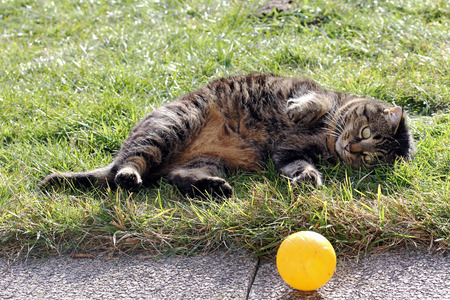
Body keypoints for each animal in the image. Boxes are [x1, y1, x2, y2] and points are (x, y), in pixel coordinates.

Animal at [39, 74, 414, 197]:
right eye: (365, 131)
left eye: (369, 156)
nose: (351, 147)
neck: (327, 139)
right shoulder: (311, 90)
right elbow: (314, 101)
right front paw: (298, 111)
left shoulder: (289, 154)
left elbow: (299, 166)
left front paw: (308, 177)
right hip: (169, 126)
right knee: (129, 165)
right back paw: (130, 175)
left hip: (206, 161)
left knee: (176, 177)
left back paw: (214, 189)